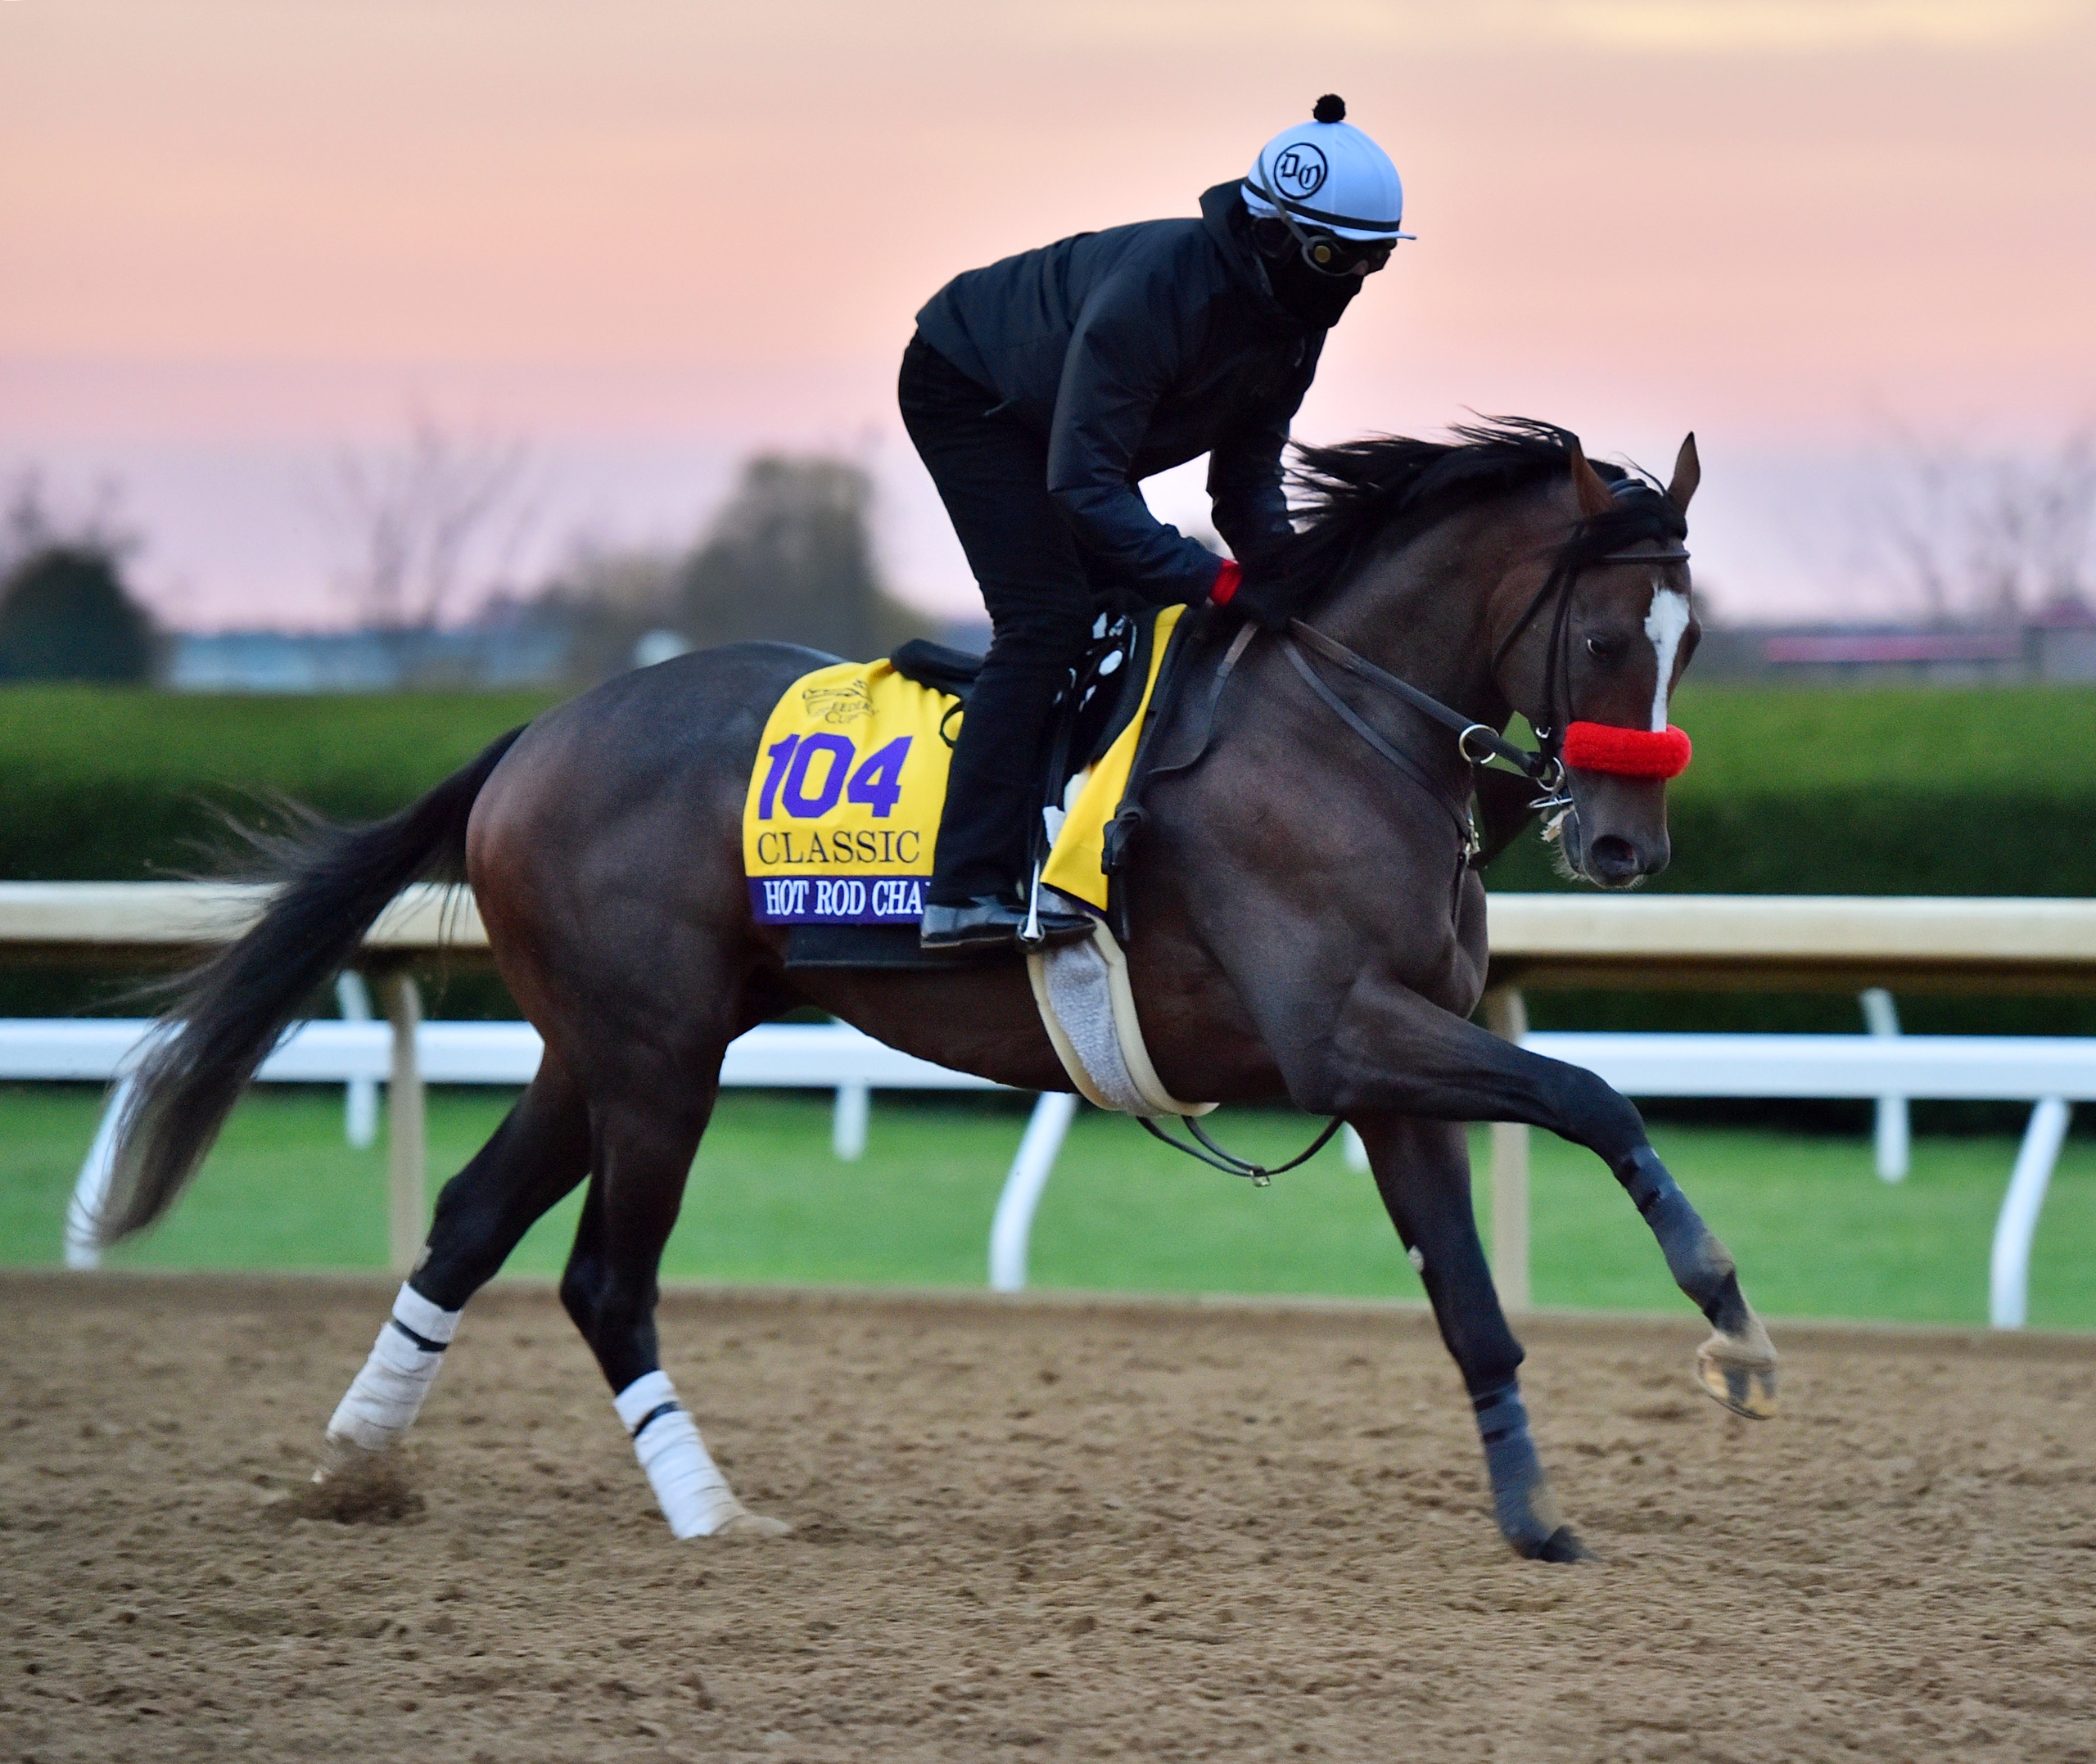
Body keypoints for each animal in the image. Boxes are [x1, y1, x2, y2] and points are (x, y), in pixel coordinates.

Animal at [94, 419, 1776, 1562]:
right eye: (1610, 634)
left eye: (1698, 638)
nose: (1625, 846)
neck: (1340, 725)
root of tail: (533, 735)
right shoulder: (1345, 1031)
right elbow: (1591, 1095)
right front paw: (1729, 1319)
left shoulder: (1383, 1068)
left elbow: (1473, 1301)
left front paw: (1534, 1510)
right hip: (658, 1056)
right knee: (604, 1280)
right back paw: (711, 1510)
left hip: (605, 1044)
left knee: (466, 1223)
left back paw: (353, 1463)